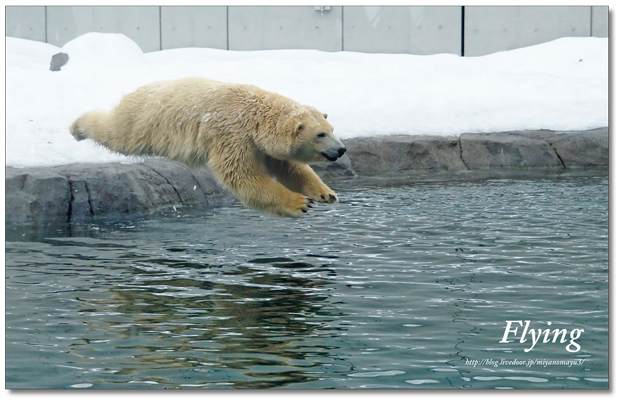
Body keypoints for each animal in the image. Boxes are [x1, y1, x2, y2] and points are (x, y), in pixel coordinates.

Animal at [71, 77, 348, 219]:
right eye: (320, 134)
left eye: (332, 128)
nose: (341, 150)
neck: (254, 113)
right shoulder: (233, 134)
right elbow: (243, 176)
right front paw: (300, 203)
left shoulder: (258, 142)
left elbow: (289, 167)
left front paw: (326, 193)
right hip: (142, 119)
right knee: (116, 132)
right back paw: (76, 128)